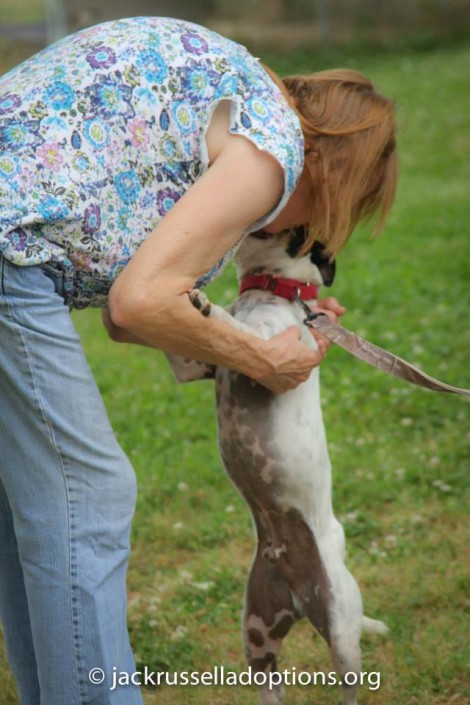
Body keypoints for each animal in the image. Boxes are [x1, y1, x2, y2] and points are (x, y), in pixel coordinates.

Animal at [167, 228, 388, 700]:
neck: (269, 291)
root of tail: (298, 597)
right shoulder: (191, 365)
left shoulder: (272, 359)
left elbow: (233, 326)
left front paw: (206, 305)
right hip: (258, 634)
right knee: (270, 683)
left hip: (341, 631)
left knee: (350, 686)